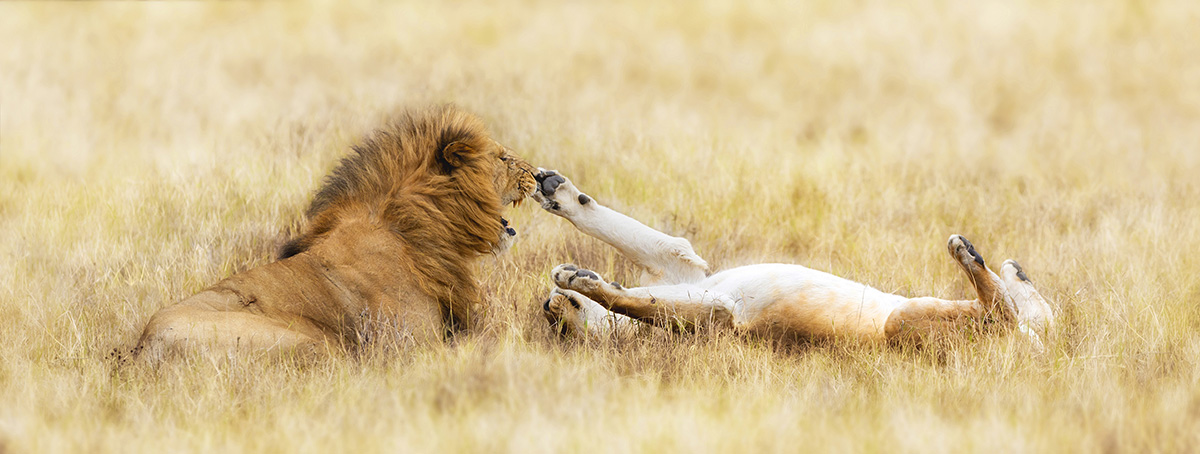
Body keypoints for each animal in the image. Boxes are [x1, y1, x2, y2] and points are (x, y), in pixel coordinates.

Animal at [134, 106, 537, 359]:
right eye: (502, 158)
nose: (539, 175)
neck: (417, 229)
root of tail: (144, 348)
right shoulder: (410, 345)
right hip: (317, 343)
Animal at [534, 170, 1055, 348]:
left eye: (560, 325)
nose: (546, 306)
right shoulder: (715, 311)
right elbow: (636, 300)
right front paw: (584, 281)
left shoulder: (681, 266)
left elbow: (617, 230)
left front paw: (556, 191)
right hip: (904, 323)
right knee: (1007, 314)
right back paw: (981, 259)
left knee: (1020, 309)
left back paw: (994, 262)